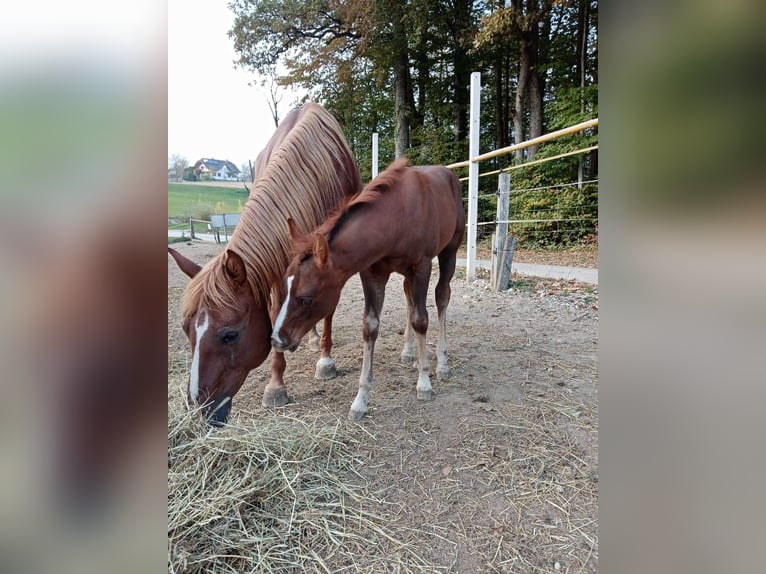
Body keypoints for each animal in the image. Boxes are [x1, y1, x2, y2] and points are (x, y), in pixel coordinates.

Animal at [168, 103, 364, 426]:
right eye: (186, 330)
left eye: (230, 335)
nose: (200, 409)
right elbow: (275, 313)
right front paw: (276, 385)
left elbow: (327, 308)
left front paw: (325, 361)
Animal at [272, 160, 464, 420]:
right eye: (284, 289)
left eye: (306, 299)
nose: (277, 339)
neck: (397, 217)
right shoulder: (372, 274)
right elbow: (370, 326)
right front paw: (360, 401)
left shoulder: (422, 266)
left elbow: (421, 320)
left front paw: (424, 383)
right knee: (408, 296)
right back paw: (408, 352)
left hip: (449, 251)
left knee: (442, 295)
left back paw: (442, 364)